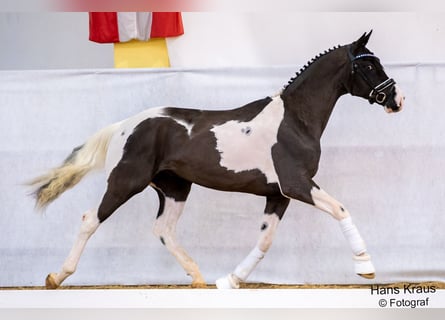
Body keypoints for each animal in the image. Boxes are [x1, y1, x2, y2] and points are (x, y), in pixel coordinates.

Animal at [27, 31, 402, 290]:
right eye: (368, 64)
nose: (396, 99)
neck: (294, 121)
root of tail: (124, 126)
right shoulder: (296, 185)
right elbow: (340, 209)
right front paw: (365, 266)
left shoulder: (277, 194)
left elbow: (265, 240)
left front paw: (230, 281)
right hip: (126, 181)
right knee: (90, 219)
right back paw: (56, 277)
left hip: (175, 188)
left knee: (163, 229)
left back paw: (198, 277)